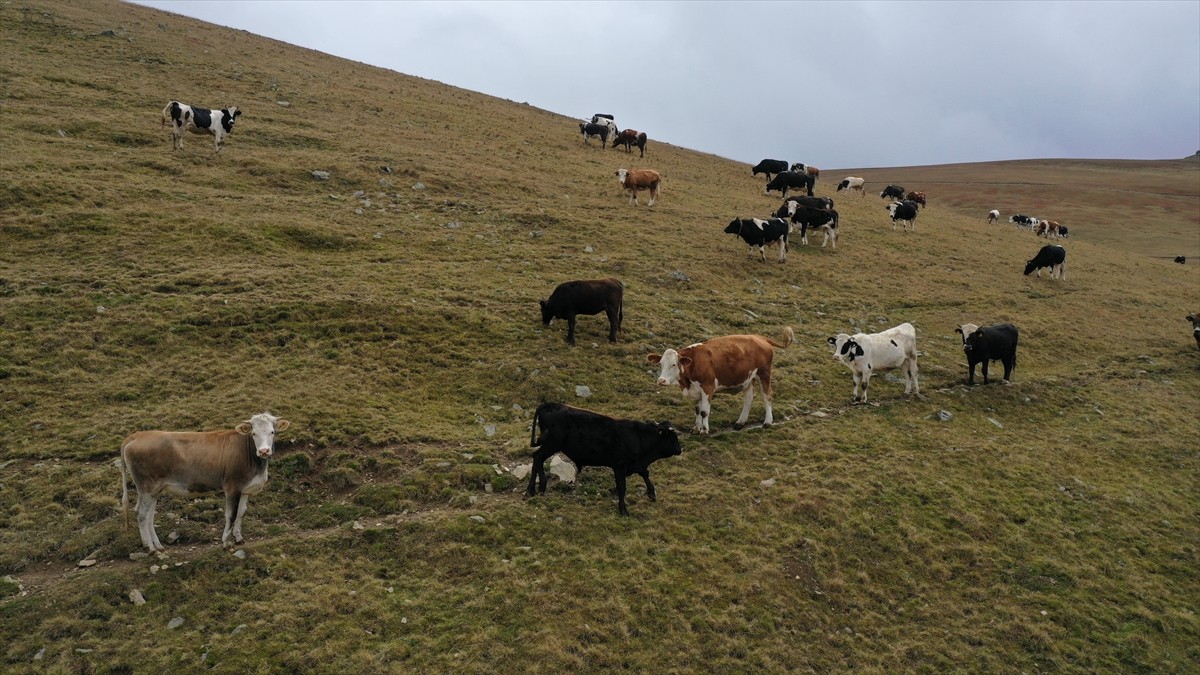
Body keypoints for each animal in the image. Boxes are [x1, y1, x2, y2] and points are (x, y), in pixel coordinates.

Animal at [120, 410, 290, 552]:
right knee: (142, 514)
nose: (264, 451)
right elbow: (231, 515)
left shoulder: (245, 489)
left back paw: (158, 545)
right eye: (254, 433)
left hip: (153, 490)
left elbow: (241, 513)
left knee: (149, 515)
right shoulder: (232, 487)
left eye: (272, 432)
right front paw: (226, 543)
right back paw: (150, 548)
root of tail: (137, 435)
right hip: (147, 487)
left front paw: (238, 538)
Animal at [528, 398, 686, 514]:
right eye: (672, 437)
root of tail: (551, 404)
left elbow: (645, 474)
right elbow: (622, 487)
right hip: (552, 443)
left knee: (537, 458)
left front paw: (652, 493)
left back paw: (535, 488)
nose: (679, 450)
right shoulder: (619, 466)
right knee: (537, 457)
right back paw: (536, 487)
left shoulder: (636, 464)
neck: (639, 437)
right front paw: (623, 510)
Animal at [648, 326, 796, 429]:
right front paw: (696, 428)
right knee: (748, 398)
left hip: (764, 374)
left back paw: (767, 422)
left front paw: (704, 430)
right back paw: (740, 422)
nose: (661, 380)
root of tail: (760, 337)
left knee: (767, 396)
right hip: (748, 379)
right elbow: (697, 409)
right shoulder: (697, 390)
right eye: (661, 364)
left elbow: (704, 411)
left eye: (674, 364)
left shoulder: (708, 387)